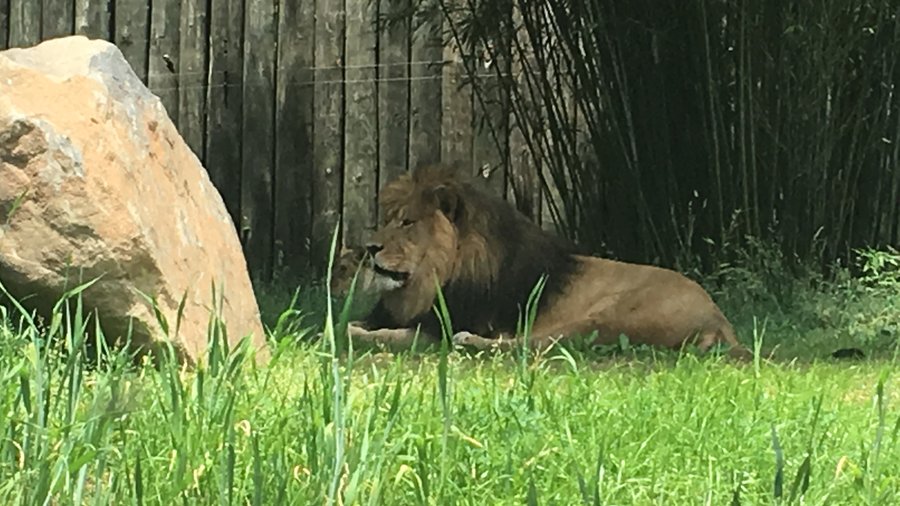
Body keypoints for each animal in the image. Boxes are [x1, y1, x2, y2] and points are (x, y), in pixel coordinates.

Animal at [344, 163, 752, 360]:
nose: (368, 247)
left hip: (604, 317)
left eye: (407, 222)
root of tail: (719, 318)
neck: (430, 282)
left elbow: (387, 335)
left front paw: (361, 334)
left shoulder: (438, 329)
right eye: (388, 217)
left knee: (536, 345)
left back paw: (473, 342)